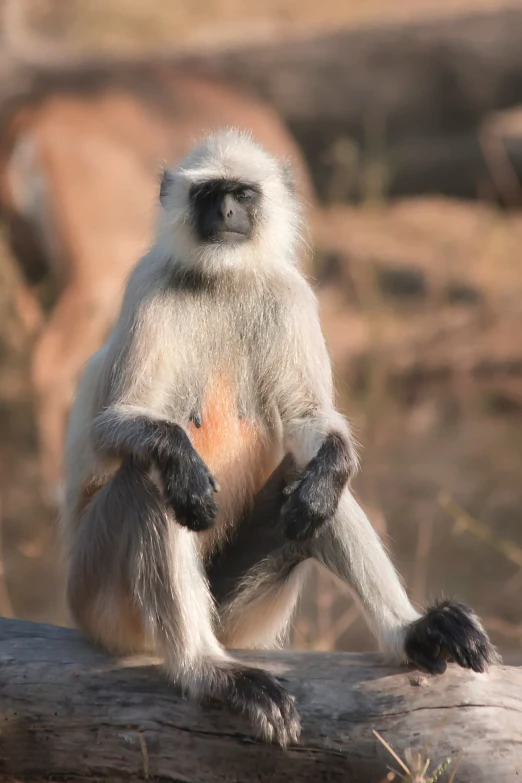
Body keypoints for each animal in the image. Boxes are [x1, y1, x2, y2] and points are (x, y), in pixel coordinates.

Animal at [63, 129, 498, 748]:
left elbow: (310, 425)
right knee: (147, 478)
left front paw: (322, 481)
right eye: (209, 194)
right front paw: (183, 466)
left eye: (242, 194)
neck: (223, 280)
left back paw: (410, 631)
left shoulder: (291, 293)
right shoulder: (146, 286)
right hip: (99, 599)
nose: (225, 213)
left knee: (310, 481)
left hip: (240, 614)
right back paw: (207, 670)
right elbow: (111, 435)